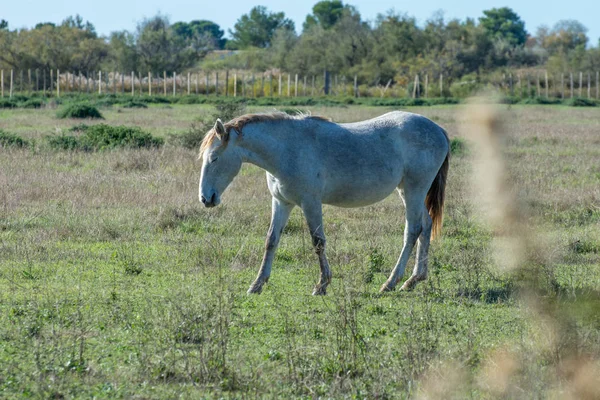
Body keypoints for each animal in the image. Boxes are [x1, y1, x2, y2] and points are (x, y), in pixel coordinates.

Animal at [199, 111, 448, 296]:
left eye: (214, 158)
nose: (205, 198)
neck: (287, 149)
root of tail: (439, 131)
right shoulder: (281, 202)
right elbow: (271, 240)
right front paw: (257, 284)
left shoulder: (310, 202)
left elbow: (318, 241)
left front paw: (322, 284)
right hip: (408, 191)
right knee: (426, 226)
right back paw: (414, 279)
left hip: (414, 190)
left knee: (413, 230)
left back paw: (391, 282)